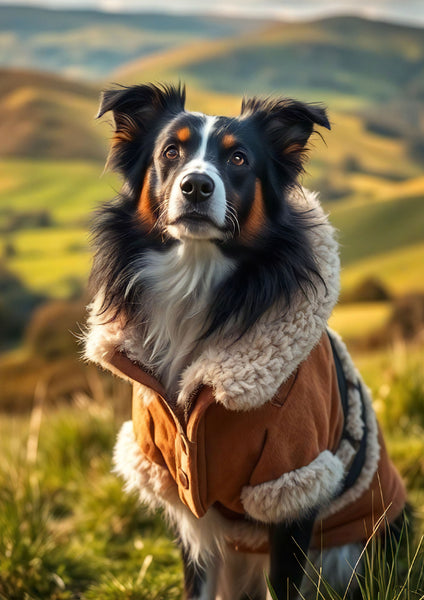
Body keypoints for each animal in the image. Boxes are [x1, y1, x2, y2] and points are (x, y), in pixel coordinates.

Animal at [83, 84, 408, 600]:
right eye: (170, 152)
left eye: (238, 158)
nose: (197, 186)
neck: (196, 278)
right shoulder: (180, 489)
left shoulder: (291, 484)